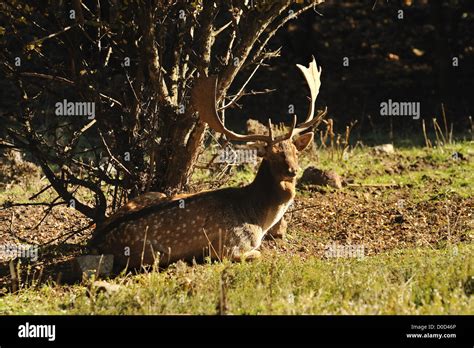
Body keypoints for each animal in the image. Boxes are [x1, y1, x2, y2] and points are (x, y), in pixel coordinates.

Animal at [89, 57, 326, 270]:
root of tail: (95, 242)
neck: (259, 218)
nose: (293, 171)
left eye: (295, 151)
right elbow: (256, 254)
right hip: (151, 253)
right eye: (272, 155)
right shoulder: (228, 246)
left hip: (154, 194)